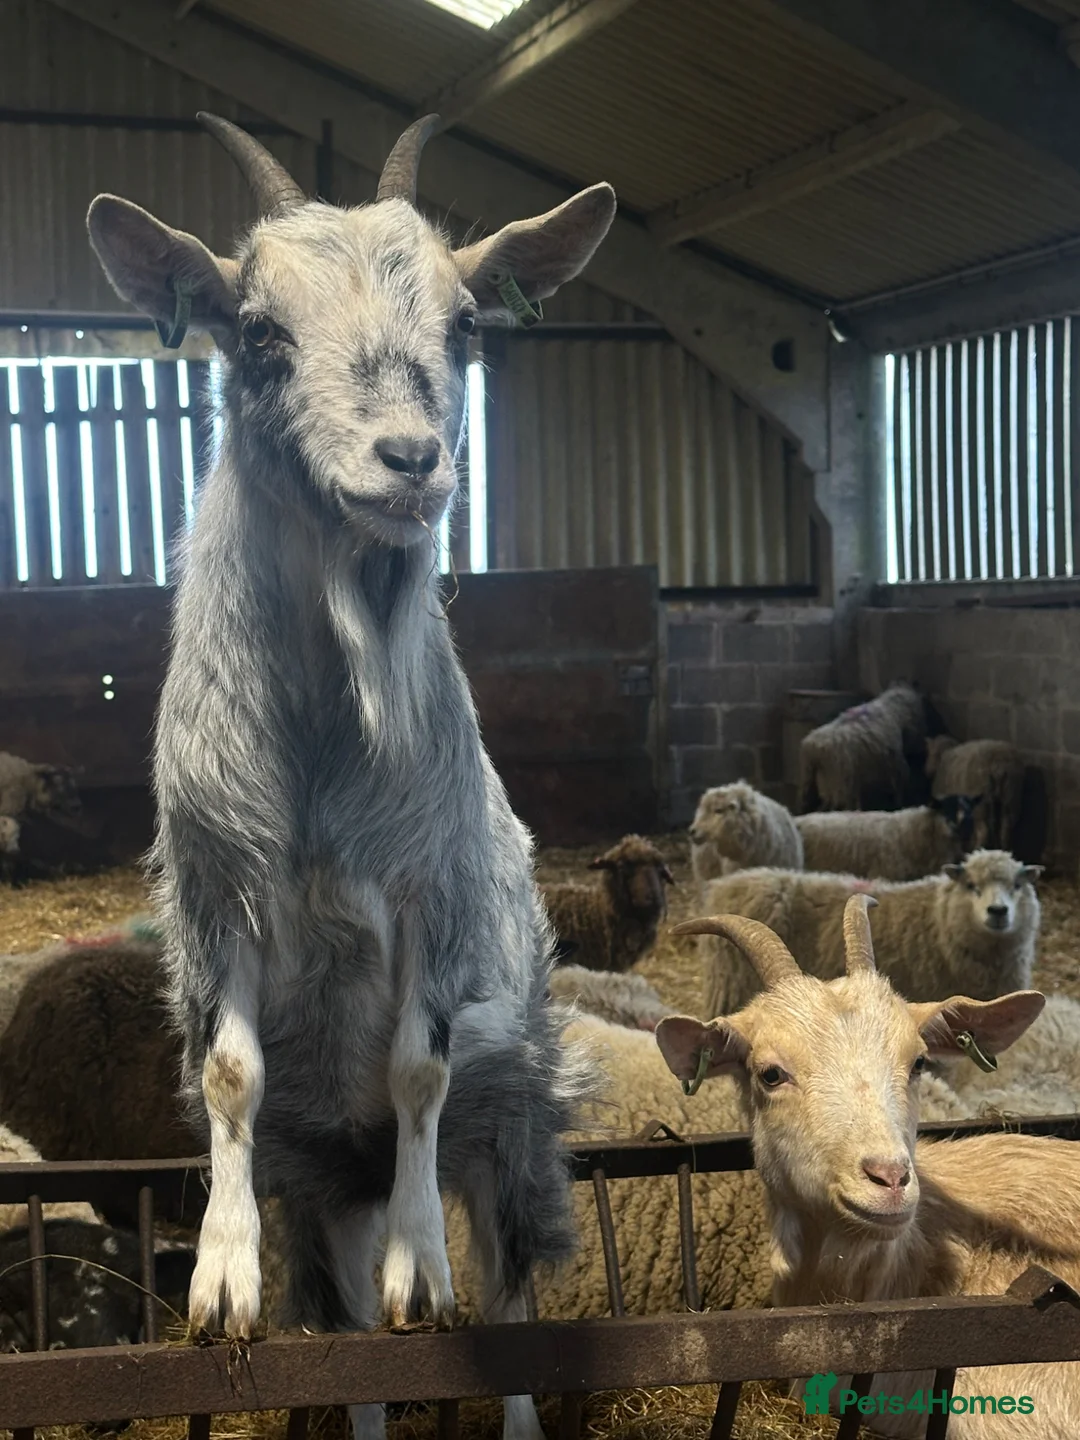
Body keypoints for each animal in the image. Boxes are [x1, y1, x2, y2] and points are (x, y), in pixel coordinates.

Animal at [88, 112, 615, 1440]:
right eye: (257, 329)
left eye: (467, 324)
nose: (410, 460)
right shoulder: (220, 894)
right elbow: (229, 1072)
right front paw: (221, 1282)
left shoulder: (432, 897)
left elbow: (418, 1067)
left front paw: (424, 1264)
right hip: (327, 1180)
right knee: (359, 1343)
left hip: (517, 1121)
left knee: (507, 1300)